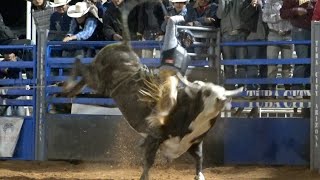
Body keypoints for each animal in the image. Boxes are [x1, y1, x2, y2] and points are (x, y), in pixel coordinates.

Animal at [62, 0, 242, 179]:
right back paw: (68, 84)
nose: (222, 99)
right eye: (206, 92)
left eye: (223, 92)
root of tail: (124, 45)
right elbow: (148, 163)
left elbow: (199, 161)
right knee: (81, 67)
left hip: (101, 85)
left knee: (84, 77)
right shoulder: (154, 137)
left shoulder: (193, 145)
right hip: (98, 80)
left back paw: (69, 90)